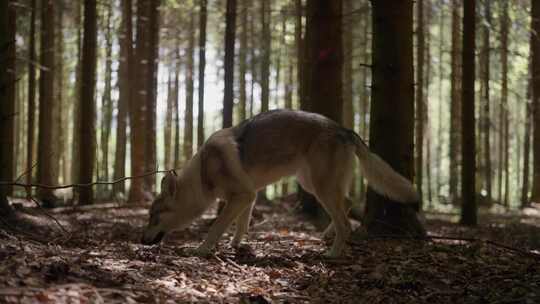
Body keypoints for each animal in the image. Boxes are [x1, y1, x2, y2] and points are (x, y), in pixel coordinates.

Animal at [141, 109, 420, 256]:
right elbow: (240, 225)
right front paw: (236, 245)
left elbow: (217, 226)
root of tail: (344, 129)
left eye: (154, 217)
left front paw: (201, 249)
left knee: (345, 223)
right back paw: (325, 236)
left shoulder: (242, 196)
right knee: (349, 203)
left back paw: (332, 254)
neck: (202, 174)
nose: (142, 240)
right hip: (312, 184)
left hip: (319, 187)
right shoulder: (249, 196)